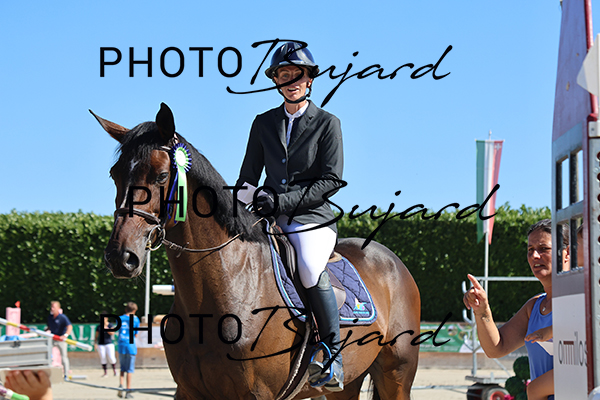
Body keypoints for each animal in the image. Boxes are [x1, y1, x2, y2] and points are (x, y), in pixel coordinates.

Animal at [93, 103, 421, 400]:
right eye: (113, 175)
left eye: (161, 176)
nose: (120, 257)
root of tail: (390, 259)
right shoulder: (187, 392)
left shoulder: (257, 394)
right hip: (349, 384)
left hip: (396, 375)